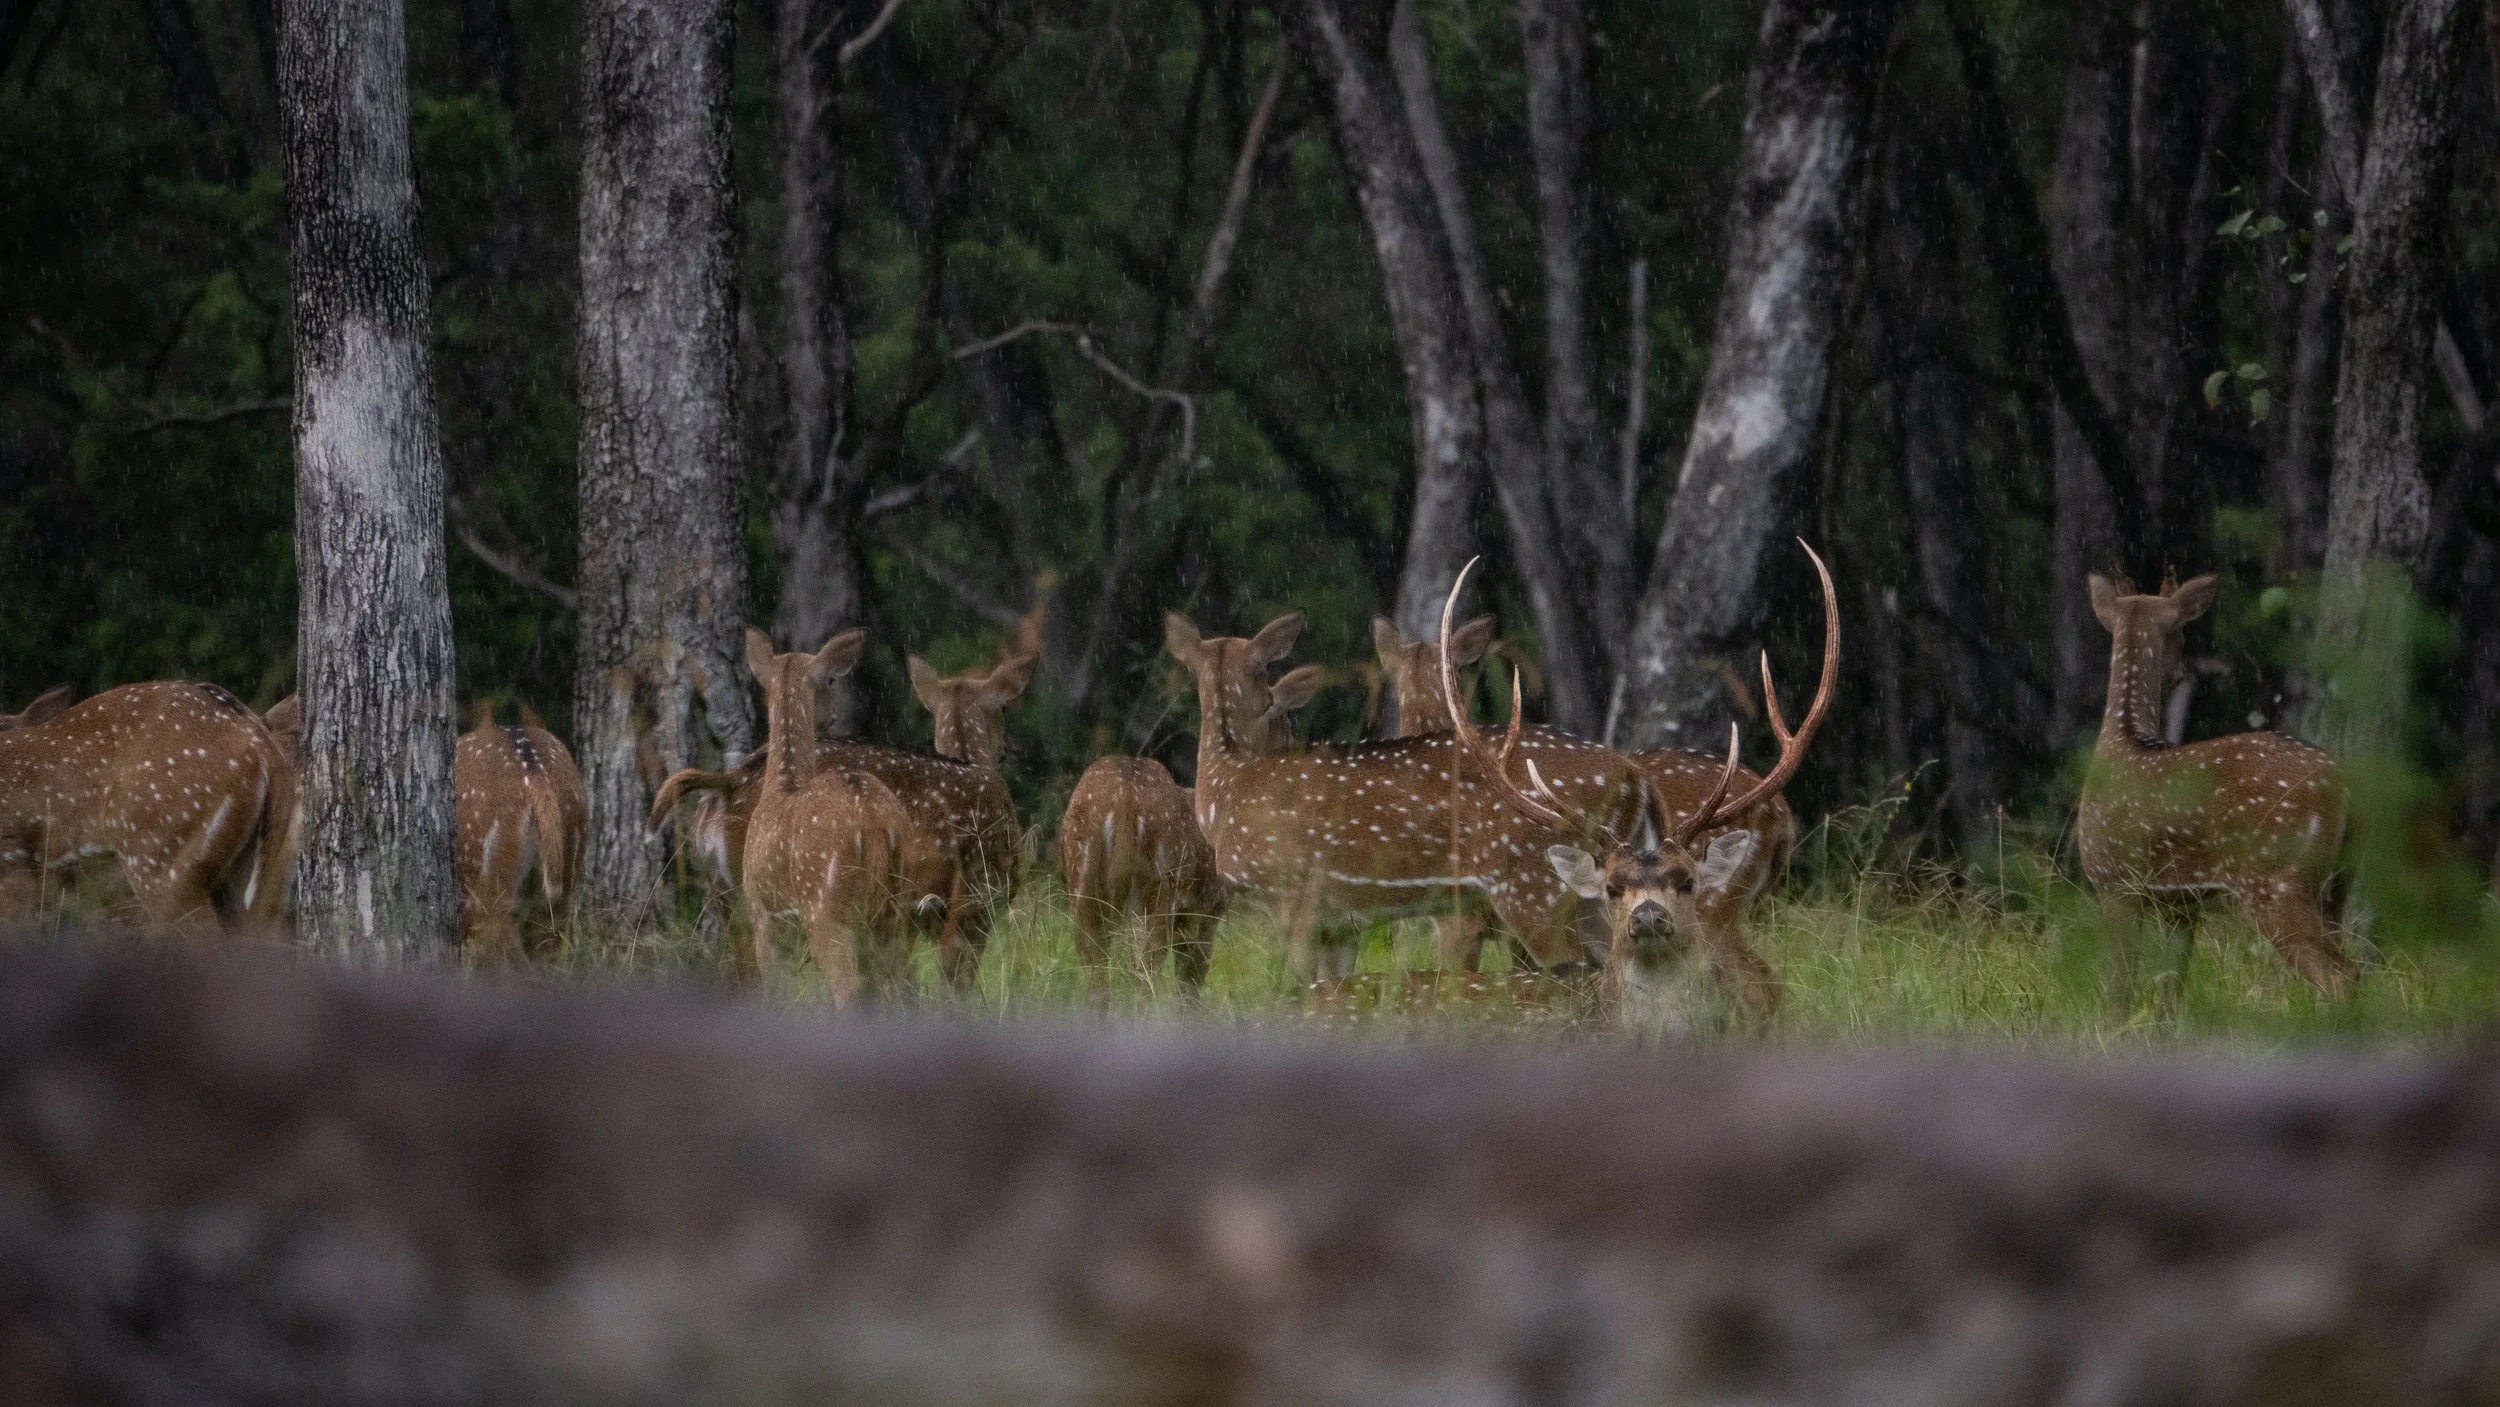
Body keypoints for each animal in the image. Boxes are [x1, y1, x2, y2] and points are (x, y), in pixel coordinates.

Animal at [737, 628, 948, 1004]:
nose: (833, 716)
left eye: (832, 679)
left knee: (850, 988)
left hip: (824, 904)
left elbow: (774, 989)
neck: (781, 787)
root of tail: (873, 821)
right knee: (897, 981)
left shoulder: (762, 913)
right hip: (897, 900)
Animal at [1058, 664, 1322, 997]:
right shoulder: (1207, 906)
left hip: (1082, 880)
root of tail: (1121, 801)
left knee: (1097, 971)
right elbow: (1190, 986)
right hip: (1158, 886)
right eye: (1287, 722)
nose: (1292, 750)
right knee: (1143, 972)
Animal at [2078, 574, 2355, 999]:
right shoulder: (2182, 906)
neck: (2121, 741)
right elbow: (2168, 993)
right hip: (2337, 886)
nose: (2177, 673)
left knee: (2338, 976)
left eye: (2181, 632)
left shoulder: (2114, 882)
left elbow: (2119, 990)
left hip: (2277, 878)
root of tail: (2343, 787)